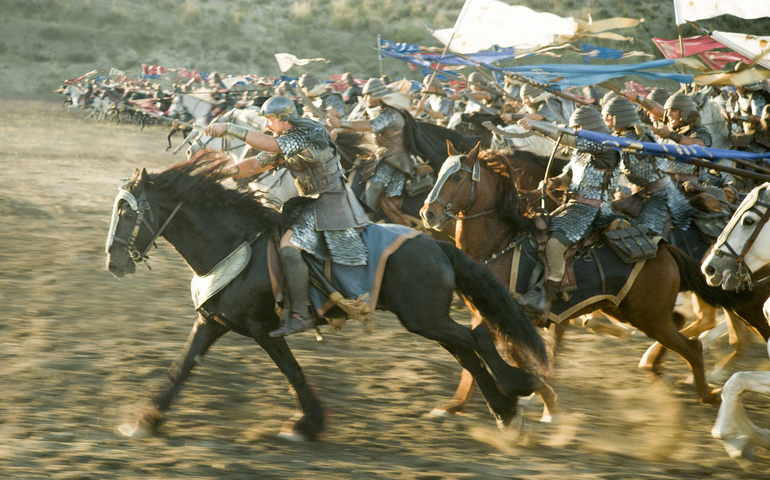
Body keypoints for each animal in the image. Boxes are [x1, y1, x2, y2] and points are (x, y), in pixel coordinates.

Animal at [108, 152, 552, 440]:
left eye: (128, 213)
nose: (114, 263)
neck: (234, 243)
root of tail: (436, 244)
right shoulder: (212, 323)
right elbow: (183, 366)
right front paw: (147, 419)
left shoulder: (262, 329)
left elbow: (293, 372)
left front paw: (307, 424)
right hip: (427, 319)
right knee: (467, 349)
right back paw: (506, 411)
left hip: (423, 317)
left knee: (473, 339)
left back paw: (516, 391)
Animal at [420, 145, 760, 404]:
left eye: (457, 177)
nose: (428, 213)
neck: (501, 243)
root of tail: (664, 249)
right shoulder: (487, 317)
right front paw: (455, 406)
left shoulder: (508, 319)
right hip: (630, 311)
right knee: (686, 328)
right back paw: (661, 369)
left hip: (648, 317)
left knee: (695, 347)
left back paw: (705, 392)